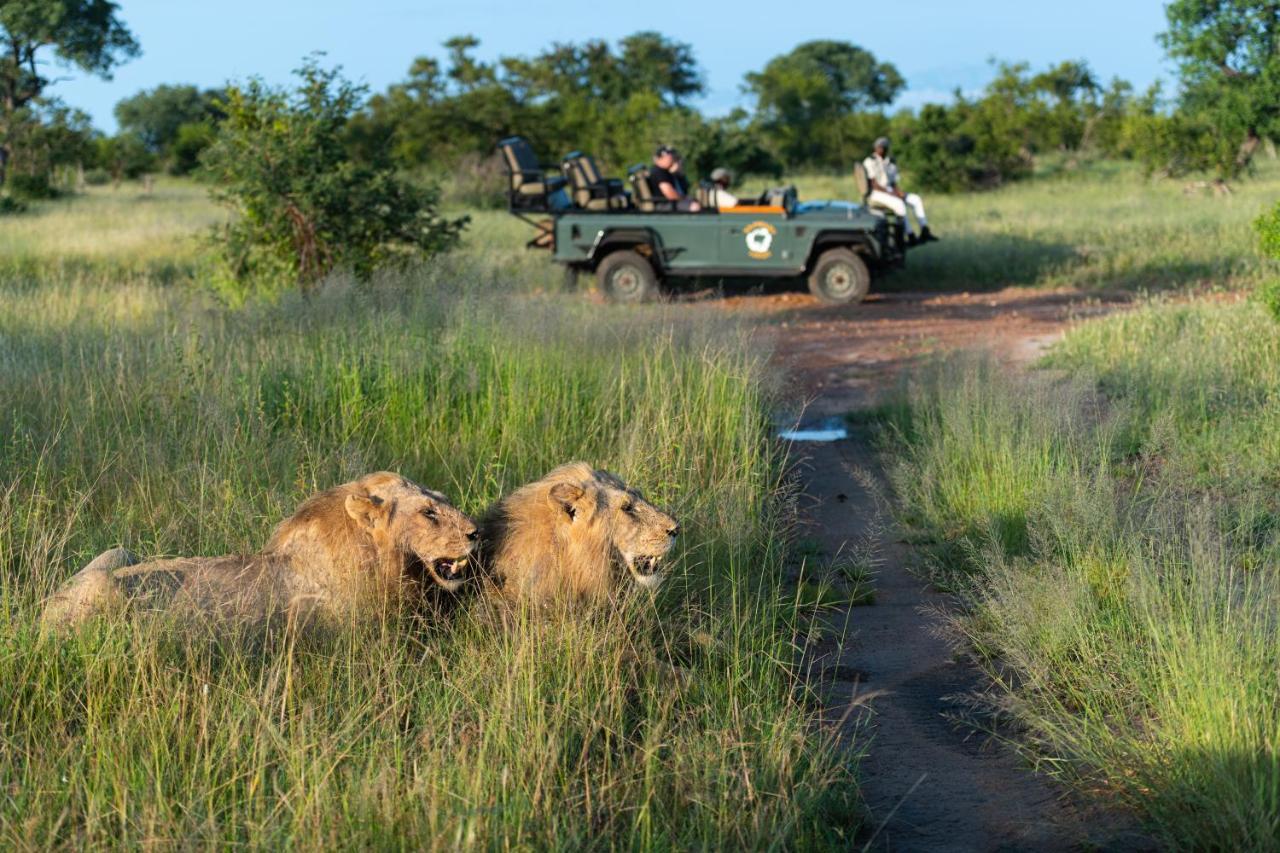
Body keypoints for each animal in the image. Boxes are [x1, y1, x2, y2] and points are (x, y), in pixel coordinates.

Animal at [43, 471, 481, 630]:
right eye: (428, 513)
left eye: (443, 499)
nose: (476, 532)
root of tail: (44, 611)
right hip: (106, 588)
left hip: (118, 552)